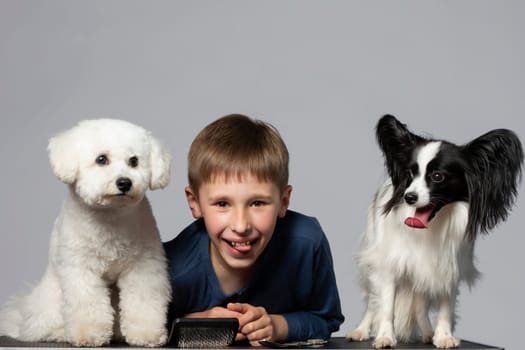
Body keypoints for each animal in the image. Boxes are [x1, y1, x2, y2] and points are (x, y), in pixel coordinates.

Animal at [0, 118, 172, 348]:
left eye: (134, 161)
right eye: (101, 159)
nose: (124, 182)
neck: (110, 217)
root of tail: (20, 319)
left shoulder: (143, 267)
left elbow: (143, 301)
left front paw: (146, 333)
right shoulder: (81, 269)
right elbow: (87, 303)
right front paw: (89, 334)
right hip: (52, 303)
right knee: (43, 326)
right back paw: (60, 333)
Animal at [346, 114, 520, 348]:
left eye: (438, 176)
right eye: (410, 173)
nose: (409, 197)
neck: (429, 227)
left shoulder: (447, 267)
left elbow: (446, 306)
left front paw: (443, 336)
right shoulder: (388, 265)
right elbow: (386, 305)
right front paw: (384, 337)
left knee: (420, 305)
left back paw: (428, 333)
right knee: (372, 303)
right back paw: (361, 330)